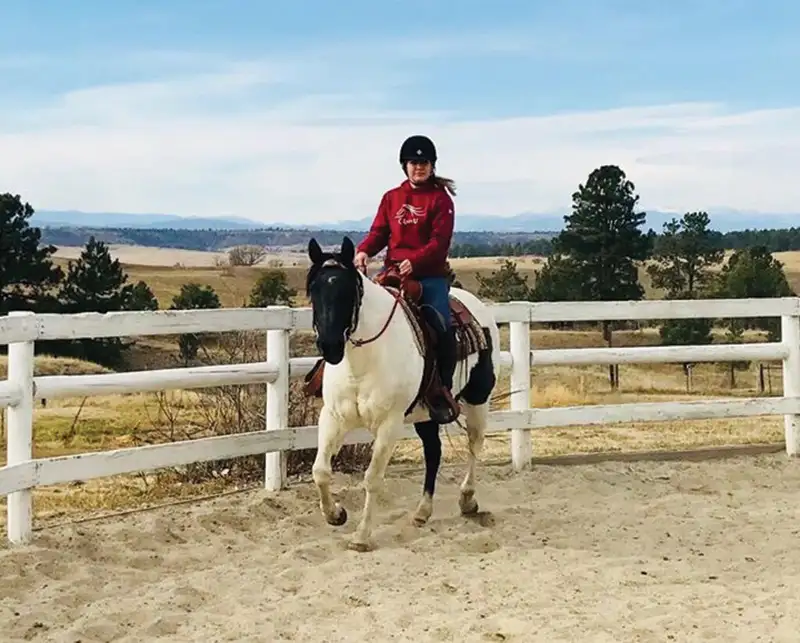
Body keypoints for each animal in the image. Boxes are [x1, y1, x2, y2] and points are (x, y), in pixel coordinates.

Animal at [306, 236, 500, 552]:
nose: (330, 346)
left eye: (347, 291)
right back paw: (422, 511)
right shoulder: (333, 417)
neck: (363, 361)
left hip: (478, 398)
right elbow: (320, 470)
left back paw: (467, 499)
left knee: (474, 443)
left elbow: (372, 478)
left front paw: (361, 536)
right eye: (314, 289)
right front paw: (336, 515)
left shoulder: (390, 423)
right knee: (434, 452)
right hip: (427, 414)